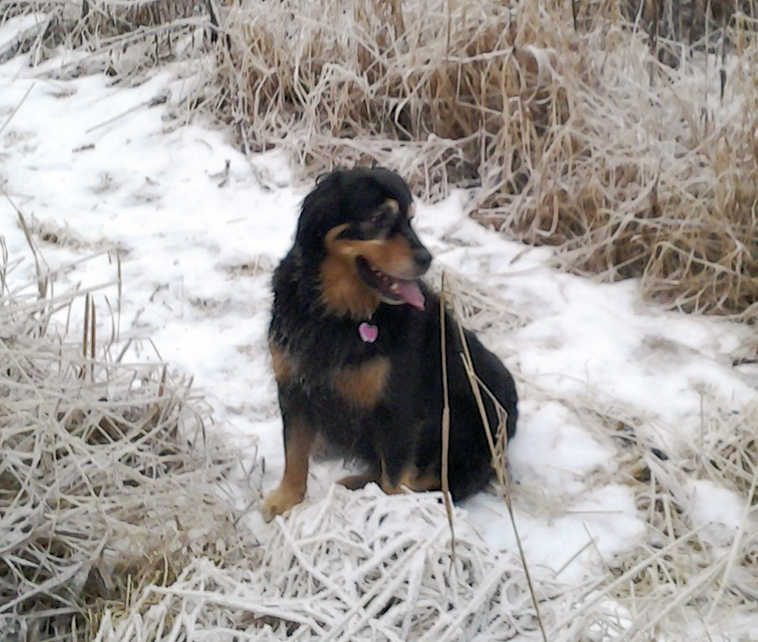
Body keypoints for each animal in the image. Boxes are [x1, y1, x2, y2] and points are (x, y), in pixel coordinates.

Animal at [262, 166, 516, 520]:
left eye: (410, 219)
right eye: (378, 218)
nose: (426, 258)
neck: (340, 315)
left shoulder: (399, 410)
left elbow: (394, 480)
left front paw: (390, 514)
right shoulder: (293, 387)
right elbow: (295, 453)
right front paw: (286, 499)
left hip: (465, 421)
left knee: (435, 483)